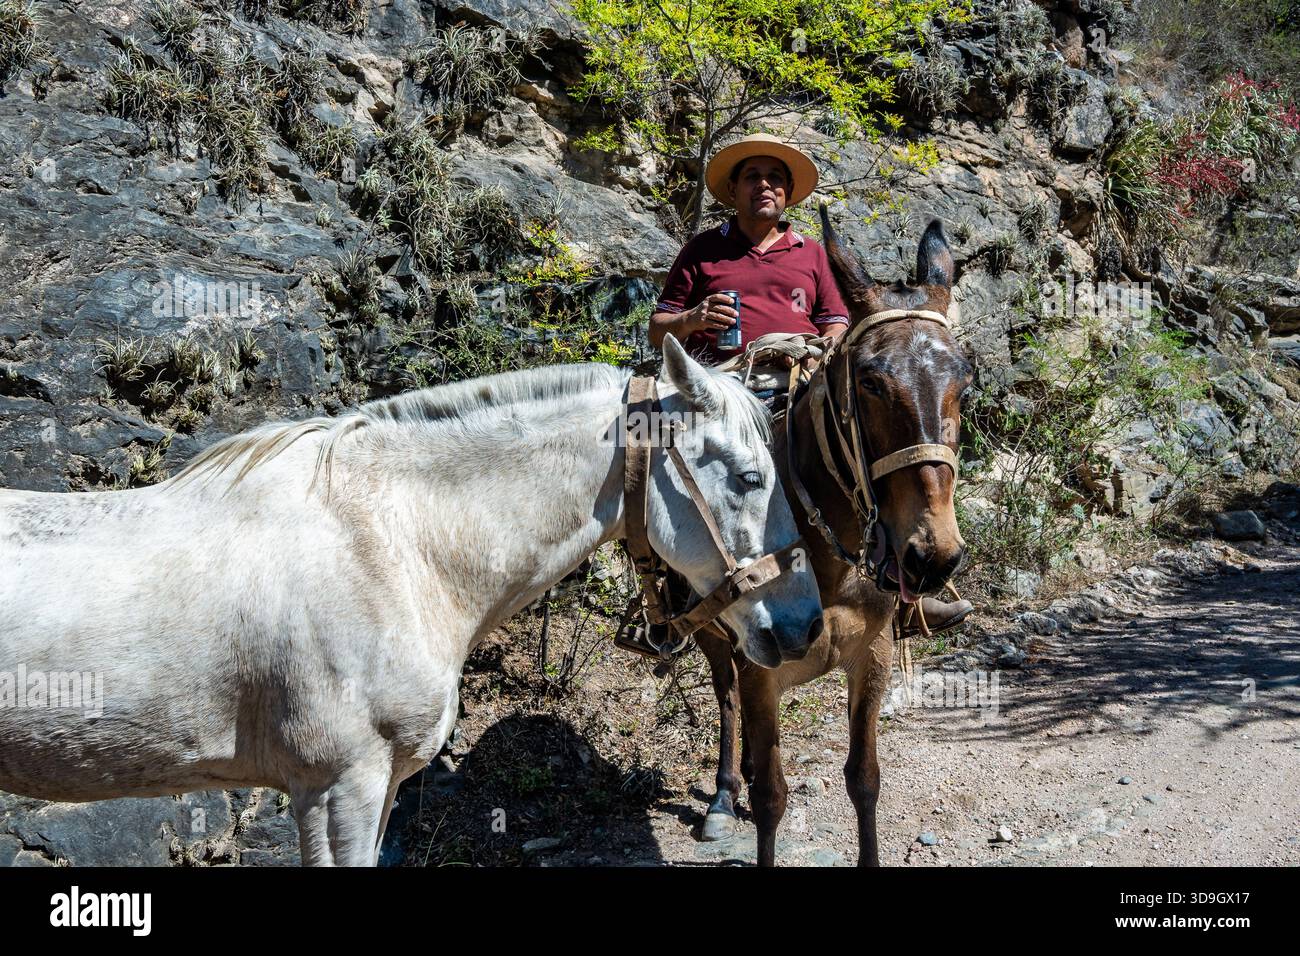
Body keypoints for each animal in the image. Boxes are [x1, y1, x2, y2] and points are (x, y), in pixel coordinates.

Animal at [694, 211, 974, 866]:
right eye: (870, 382)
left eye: (966, 381)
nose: (932, 557)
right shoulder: (762, 671)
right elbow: (773, 796)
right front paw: (749, 795)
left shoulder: (871, 657)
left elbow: (864, 779)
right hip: (715, 638)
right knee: (724, 698)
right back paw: (724, 793)